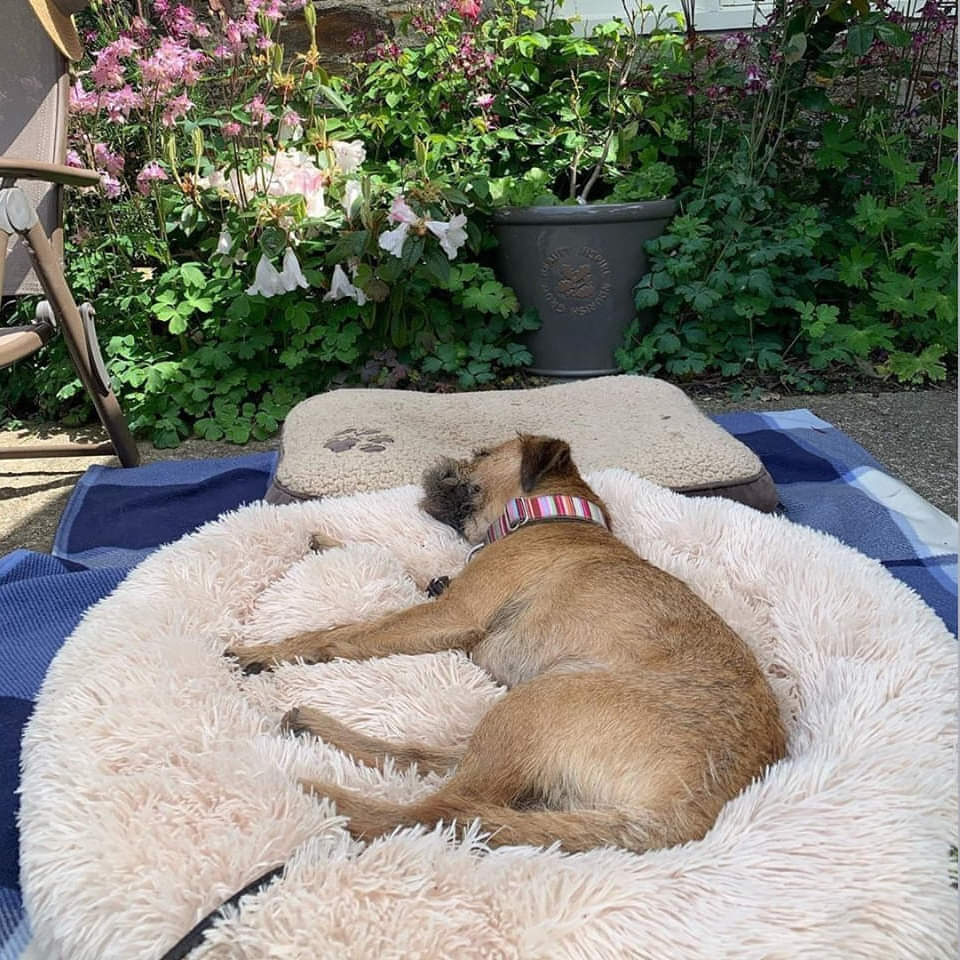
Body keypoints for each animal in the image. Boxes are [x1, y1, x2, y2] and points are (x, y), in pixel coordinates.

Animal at [227, 436, 788, 856]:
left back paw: (323, 799)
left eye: (479, 454)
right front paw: (334, 543)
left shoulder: (451, 613)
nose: (435, 468)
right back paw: (316, 729)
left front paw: (266, 651)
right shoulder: (447, 600)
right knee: (436, 769)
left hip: (540, 701)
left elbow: (341, 632)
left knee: (437, 812)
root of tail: (683, 817)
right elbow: (401, 567)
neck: (552, 515)